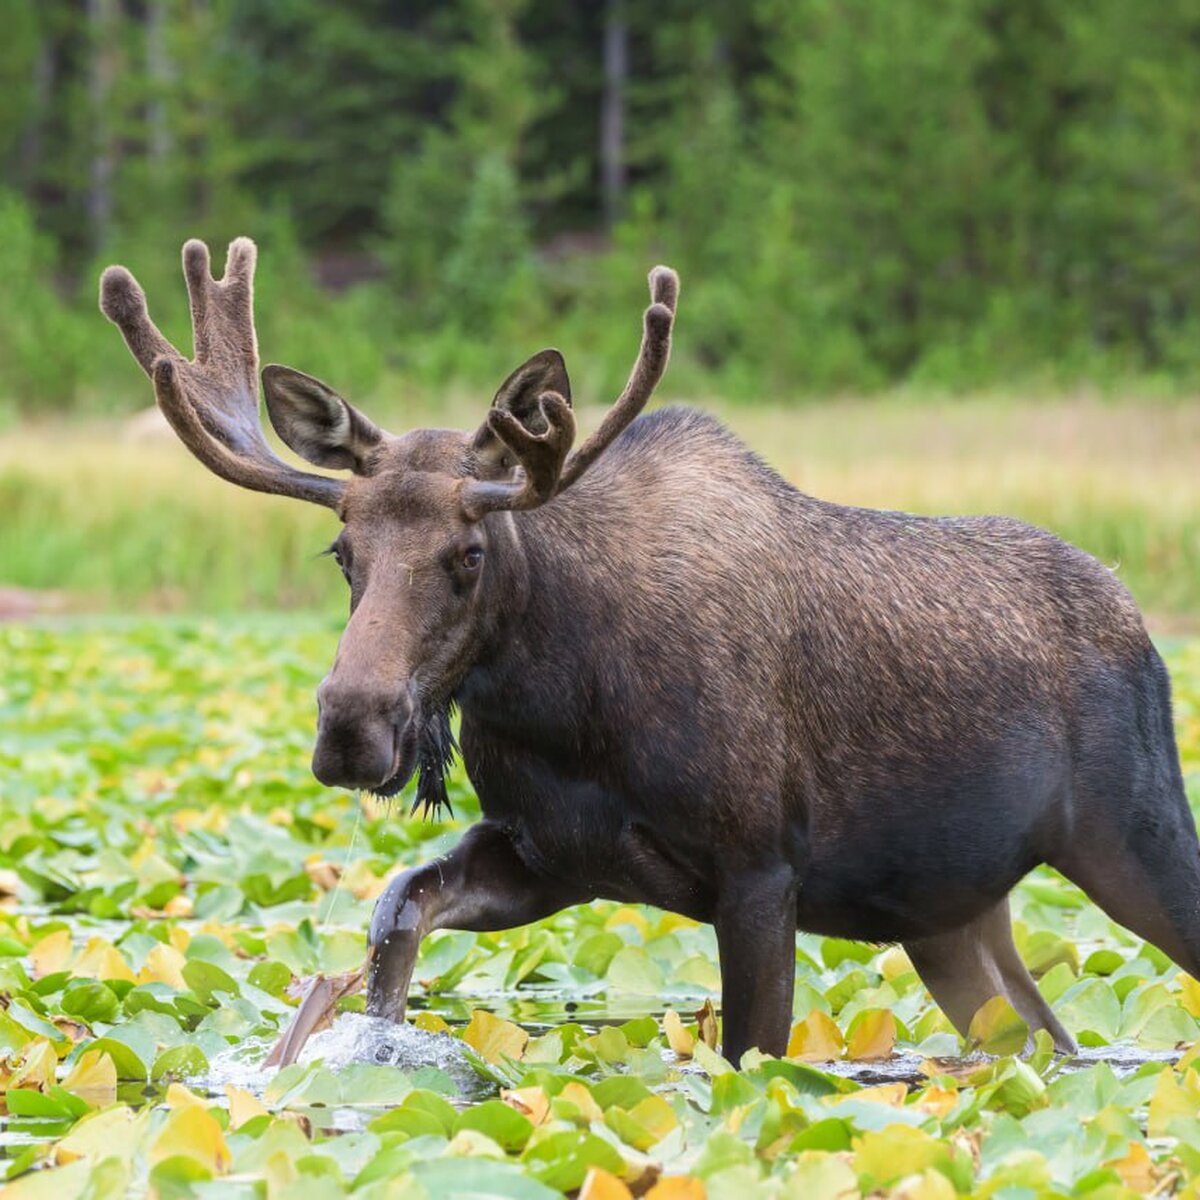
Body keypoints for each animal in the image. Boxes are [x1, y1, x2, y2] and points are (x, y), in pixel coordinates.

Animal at [100, 236, 1200, 1060]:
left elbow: (753, 1060)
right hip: (949, 914)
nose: (351, 728)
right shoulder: (549, 854)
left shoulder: (762, 869)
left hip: (1133, 832)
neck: (563, 705)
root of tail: (1140, 623)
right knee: (1043, 1042)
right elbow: (397, 910)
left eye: (468, 552)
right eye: (342, 550)